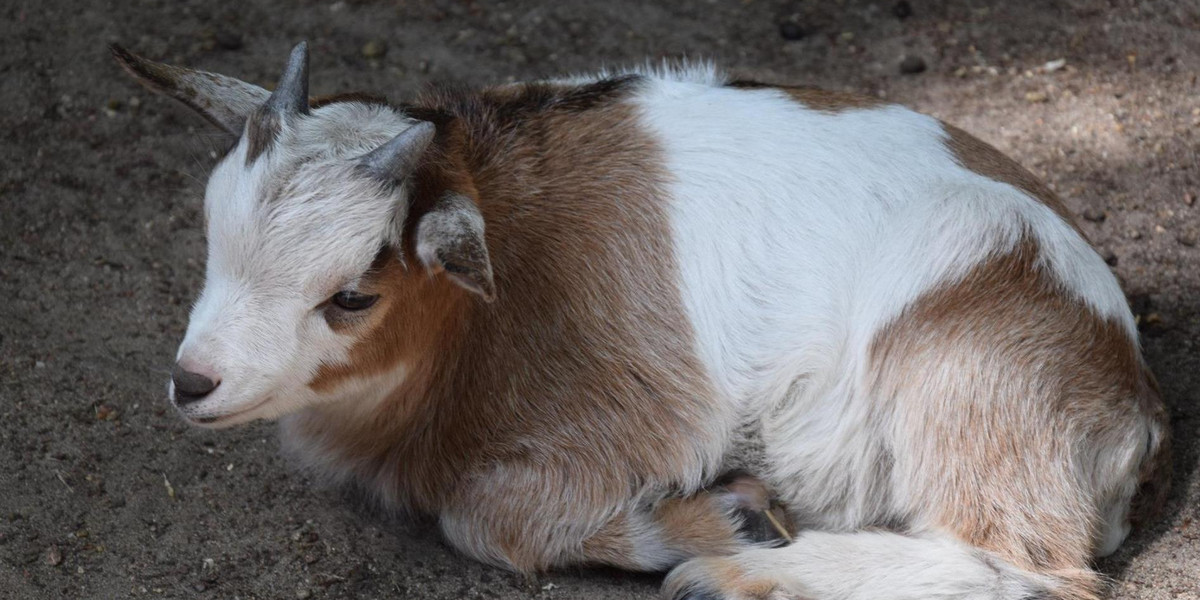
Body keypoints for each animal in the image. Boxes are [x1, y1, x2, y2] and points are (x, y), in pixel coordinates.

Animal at [114, 43, 1171, 600]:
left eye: (351, 293)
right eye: (211, 228)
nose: (194, 382)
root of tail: (1130, 401)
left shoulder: (635, 420)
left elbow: (483, 517)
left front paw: (717, 520)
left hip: (961, 367)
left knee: (1022, 566)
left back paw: (744, 569)